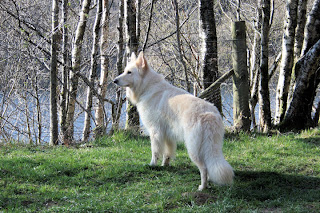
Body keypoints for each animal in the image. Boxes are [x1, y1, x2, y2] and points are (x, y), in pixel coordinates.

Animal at [114, 51, 234, 190]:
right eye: (124, 71)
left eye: (129, 72)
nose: (114, 80)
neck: (147, 87)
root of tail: (209, 114)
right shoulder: (168, 135)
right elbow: (168, 153)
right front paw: (164, 165)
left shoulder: (156, 132)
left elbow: (155, 151)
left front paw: (152, 165)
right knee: (208, 166)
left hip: (193, 149)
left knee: (203, 168)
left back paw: (202, 187)